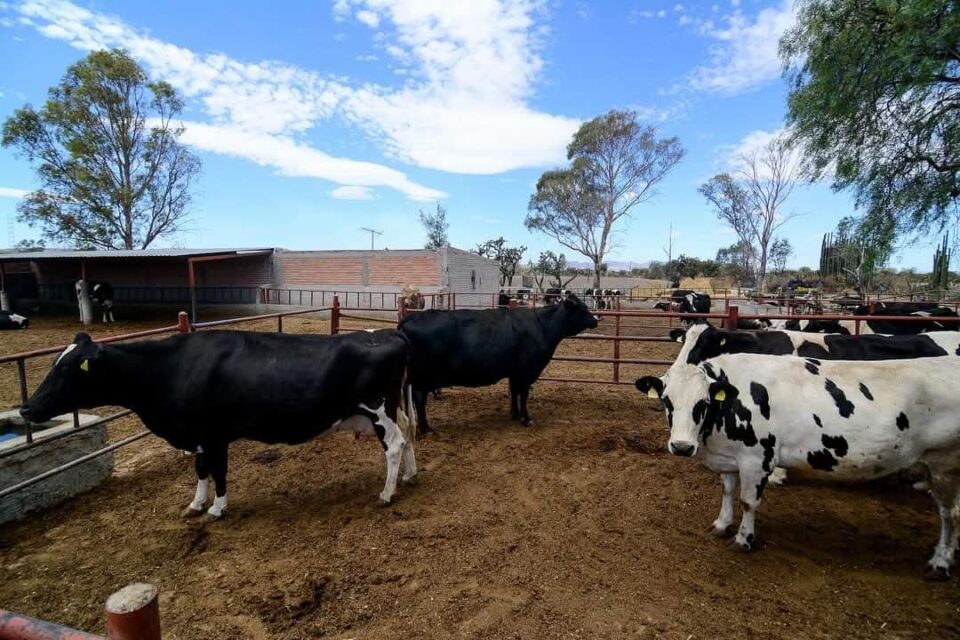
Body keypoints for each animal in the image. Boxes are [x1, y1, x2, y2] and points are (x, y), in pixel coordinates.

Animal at [20, 330, 418, 520]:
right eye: (54, 364)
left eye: (69, 369)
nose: (26, 409)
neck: (171, 368)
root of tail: (388, 333)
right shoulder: (197, 434)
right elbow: (200, 469)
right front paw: (196, 504)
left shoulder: (214, 433)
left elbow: (219, 470)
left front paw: (217, 508)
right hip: (392, 407)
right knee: (409, 434)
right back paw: (410, 477)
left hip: (378, 410)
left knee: (394, 445)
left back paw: (386, 493)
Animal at [396, 294, 592, 432]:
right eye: (582, 309)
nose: (595, 320)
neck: (541, 325)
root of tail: (410, 318)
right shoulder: (526, 371)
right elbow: (523, 394)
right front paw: (526, 418)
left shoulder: (515, 371)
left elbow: (514, 391)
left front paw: (514, 414)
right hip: (423, 378)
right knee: (420, 399)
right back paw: (426, 428)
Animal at [636, 356, 960, 580]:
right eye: (666, 400)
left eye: (702, 403)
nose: (681, 446)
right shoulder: (729, 457)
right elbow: (727, 491)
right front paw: (721, 524)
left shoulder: (756, 459)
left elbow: (748, 501)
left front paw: (743, 539)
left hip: (944, 464)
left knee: (950, 515)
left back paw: (940, 563)